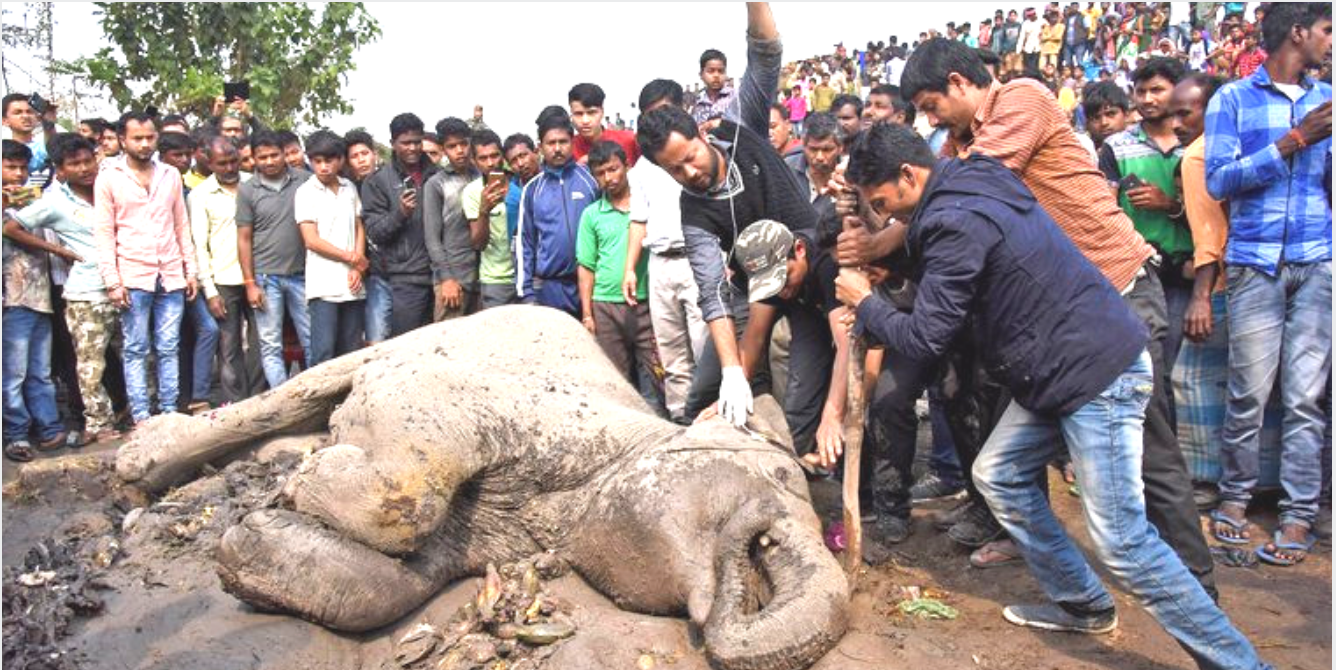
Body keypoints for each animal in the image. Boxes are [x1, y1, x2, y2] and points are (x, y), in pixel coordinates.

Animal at [115, 305, 849, 670]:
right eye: (782, 476)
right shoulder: (495, 404)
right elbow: (405, 497)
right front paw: (303, 480)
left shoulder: (495, 538)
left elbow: (393, 587)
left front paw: (260, 533)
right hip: (422, 335)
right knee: (308, 387)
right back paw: (142, 465)